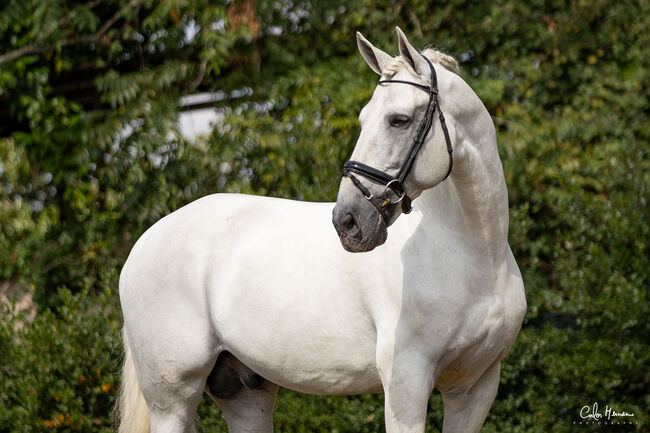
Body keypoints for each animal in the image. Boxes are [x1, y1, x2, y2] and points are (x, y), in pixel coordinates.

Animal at [115, 27, 520, 432]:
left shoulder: (475, 389)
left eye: (399, 120)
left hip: (246, 393)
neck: (473, 256)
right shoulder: (407, 382)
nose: (348, 221)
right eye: (364, 119)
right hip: (171, 400)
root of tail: (144, 243)